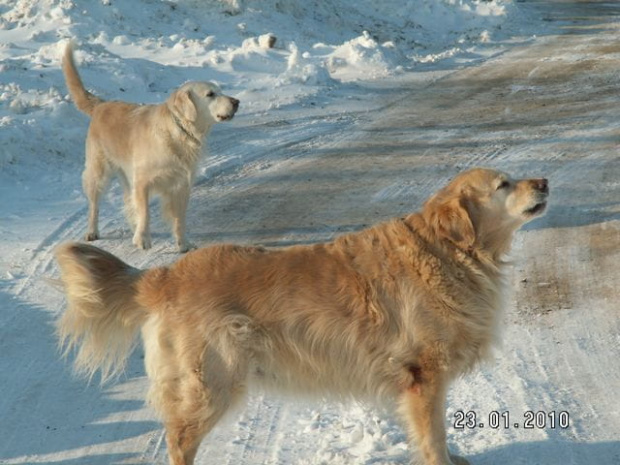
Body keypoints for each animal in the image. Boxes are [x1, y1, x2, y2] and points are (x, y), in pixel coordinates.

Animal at [53, 168, 548, 464]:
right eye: (503, 185)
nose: (543, 181)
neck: (448, 252)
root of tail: (165, 274)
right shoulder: (423, 375)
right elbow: (433, 436)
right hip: (211, 382)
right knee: (179, 440)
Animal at [61, 43, 240, 252]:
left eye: (219, 91)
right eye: (210, 94)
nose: (236, 102)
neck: (178, 131)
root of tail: (101, 105)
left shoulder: (181, 185)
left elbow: (179, 219)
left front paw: (183, 243)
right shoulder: (142, 182)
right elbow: (145, 212)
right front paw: (143, 239)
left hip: (125, 173)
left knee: (128, 201)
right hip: (98, 171)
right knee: (94, 204)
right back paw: (92, 231)